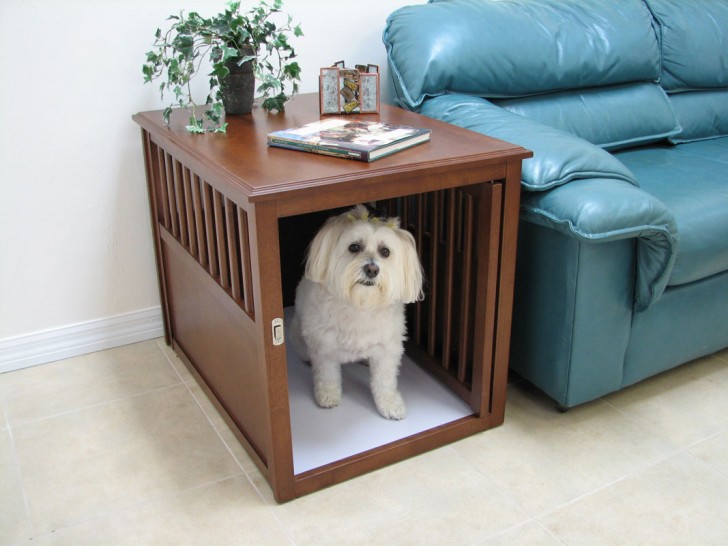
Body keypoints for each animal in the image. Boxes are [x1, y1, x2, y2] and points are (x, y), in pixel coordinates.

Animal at [290, 206, 424, 418]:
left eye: (385, 252)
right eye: (353, 247)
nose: (372, 269)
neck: (361, 303)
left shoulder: (387, 348)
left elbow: (385, 381)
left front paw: (389, 404)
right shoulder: (325, 346)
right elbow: (327, 375)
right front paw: (328, 396)